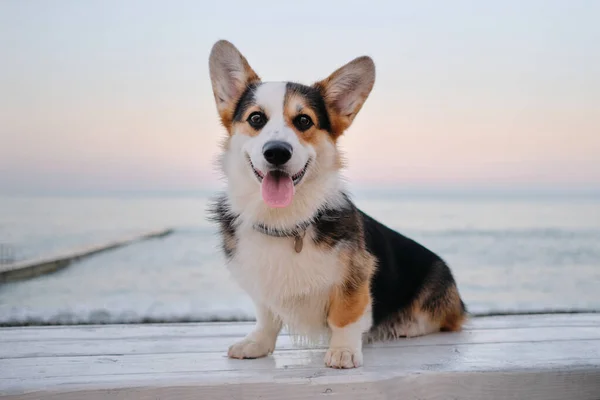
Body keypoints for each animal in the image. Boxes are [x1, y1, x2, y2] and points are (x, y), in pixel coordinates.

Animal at [209, 39, 466, 368]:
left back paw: (406, 325)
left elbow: (345, 316)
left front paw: (343, 351)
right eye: (256, 118)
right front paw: (257, 344)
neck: (286, 220)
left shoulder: (356, 276)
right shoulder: (261, 284)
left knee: (446, 321)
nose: (277, 152)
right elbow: (267, 317)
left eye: (304, 120)